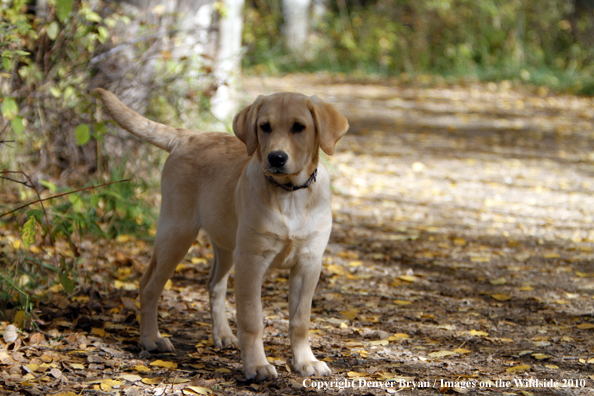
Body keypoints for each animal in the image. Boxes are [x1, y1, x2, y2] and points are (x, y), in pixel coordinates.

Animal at [92, 88, 346, 378]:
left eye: (299, 127)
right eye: (265, 127)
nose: (276, 158)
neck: (289, 193)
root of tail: (187, 136)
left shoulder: (309, 263)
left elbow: (300, 320)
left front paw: (305, 361)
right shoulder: (251, 260)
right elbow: (252, 319)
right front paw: (257, 365)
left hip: (225, 245)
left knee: (214, 284)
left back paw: (222, 335)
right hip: (176, 233)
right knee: (149, 285)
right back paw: (150, 339)